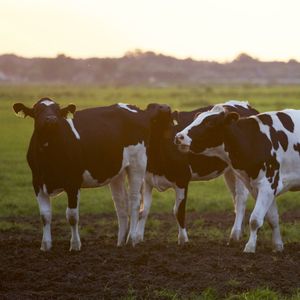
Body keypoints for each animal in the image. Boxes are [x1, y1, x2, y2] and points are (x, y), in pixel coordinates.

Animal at [13, 98, 169, 251]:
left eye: (57, 111)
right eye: (37, 111)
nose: (51, 119)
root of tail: (137, 109)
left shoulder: (73, 182)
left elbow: (72, 216)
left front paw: (75, 245)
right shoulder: (37, 182)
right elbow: (44, 215)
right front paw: (45, 245)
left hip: (137, 164)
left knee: (135, 201)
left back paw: (132, 239)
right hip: (117, 171)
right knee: (120, 204)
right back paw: (120, 242)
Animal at [136, 100, 258, 244]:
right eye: (150, 107)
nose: (165, 107)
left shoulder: (182, 179)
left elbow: (178, 211)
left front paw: (183, 240)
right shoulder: (147, 180)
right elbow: (143, 210)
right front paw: (137, 238)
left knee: (240, 199)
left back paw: (235, 234)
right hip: (230, 171)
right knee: (235, 198)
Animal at [176, 101, 300, 253]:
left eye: (210, 123)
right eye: (196, 118)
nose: (179, 136)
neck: (254, 140)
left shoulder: (269, 184)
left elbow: (255, 219)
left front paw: (250, 247)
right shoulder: (257, 187)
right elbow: (272, 218)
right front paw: (277, 245)